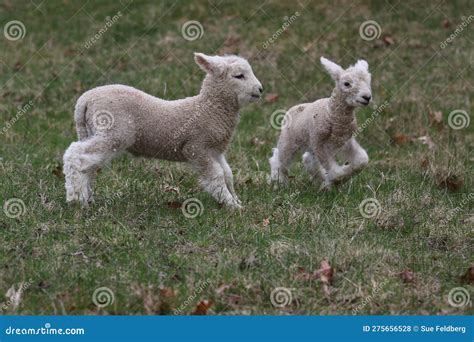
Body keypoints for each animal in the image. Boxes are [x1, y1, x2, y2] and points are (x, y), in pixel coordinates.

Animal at [63, 52, 262, 210]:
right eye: (239, 76)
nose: (260, 89)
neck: (209, 109)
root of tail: (84, 100)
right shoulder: (196, 147)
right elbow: (217, 176)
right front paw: (231, 205)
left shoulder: (215, 150)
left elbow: (228, 174)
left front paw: (236, 200)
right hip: (113, 132)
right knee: (75, 154)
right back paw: (75, 198)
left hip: (93, 130)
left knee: (87, 164)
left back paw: (85, 197)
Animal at [268, 56, 372, 190]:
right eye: (347, 84)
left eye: (368, 81)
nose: (367, 97)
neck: (331, 114)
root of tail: (293, 108)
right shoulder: (319, 142)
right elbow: (337, 173)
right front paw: (334, 181)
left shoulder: (345, 141)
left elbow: (362, 160)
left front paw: (332, 181)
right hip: (289, 140)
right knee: (279, 159)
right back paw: (278, 182)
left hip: (310, 144)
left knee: (308, 160)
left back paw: (319, 178)